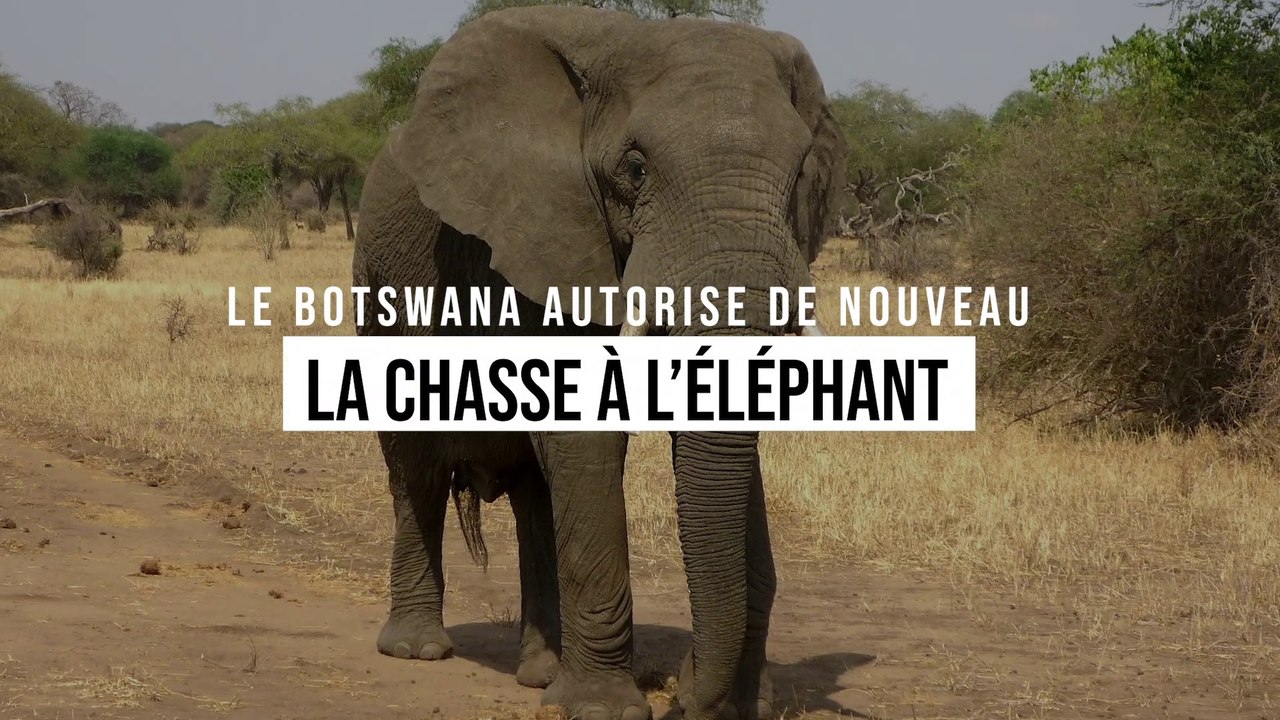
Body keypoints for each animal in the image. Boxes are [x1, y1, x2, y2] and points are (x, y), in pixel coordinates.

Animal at [351, 6, 847, 720]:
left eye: (802, 173)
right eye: (635, 170)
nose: (683, 703)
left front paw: (736, 704)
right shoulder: (545, 239)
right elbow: (584, 434)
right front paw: (604, 708)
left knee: (534, 493)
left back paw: (539, 673)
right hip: (379, 284)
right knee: (415, 466)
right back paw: (418, 650)